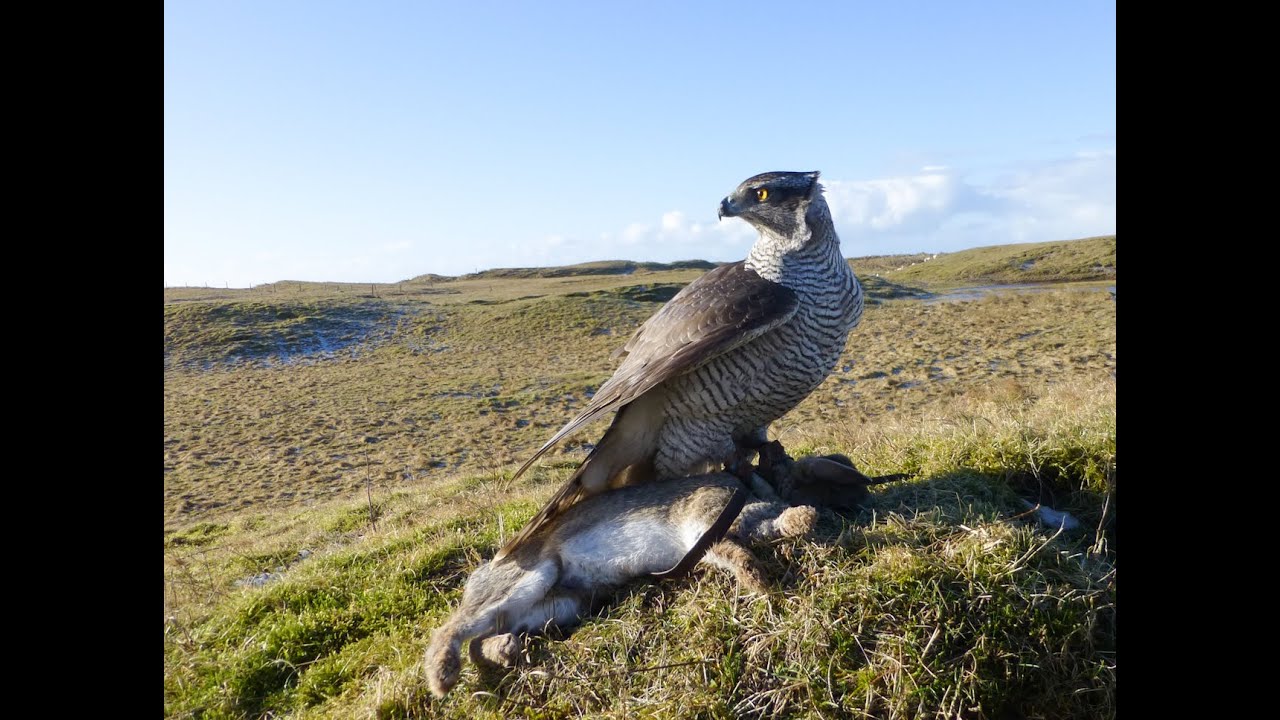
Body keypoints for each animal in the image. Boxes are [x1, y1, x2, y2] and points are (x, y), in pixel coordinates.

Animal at [424, 471, 818, 698]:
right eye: (769, 498)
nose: (791, 512)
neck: (741, 506)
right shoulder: (702, 530)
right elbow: (735, 554)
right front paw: (760, 584)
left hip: (560, 605)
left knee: (481, 641)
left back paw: (505, 651)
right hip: (530, 579)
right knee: (452, 630)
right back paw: (442, 678)